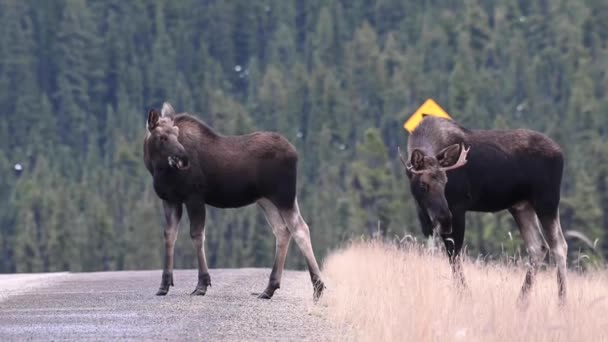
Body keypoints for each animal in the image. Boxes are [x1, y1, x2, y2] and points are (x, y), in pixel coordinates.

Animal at [143, 101, 326, 300]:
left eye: (177, 134)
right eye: (162, 137)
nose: (183, 159)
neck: (157, 169)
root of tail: (295, 153)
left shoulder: (194, 197)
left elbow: (197, 235)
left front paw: (202, 285)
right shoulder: (170, 200)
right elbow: (169, 236)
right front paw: (164, 285)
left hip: (284, 196)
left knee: (300, 229)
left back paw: (318, 287)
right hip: (266, 200)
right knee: (282, 231)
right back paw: (269, 289)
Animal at [402, 116, 568, 304]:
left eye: (445, 182)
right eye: (423, 185)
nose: (444, 219)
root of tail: (561, 153)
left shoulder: (457, 209)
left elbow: (454, 254)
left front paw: (464, 295)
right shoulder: (425, 217)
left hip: (546, 201)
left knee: (559, 245)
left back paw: (562, 302)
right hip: (521, 206)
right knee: (538, 247)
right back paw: (521, 302)